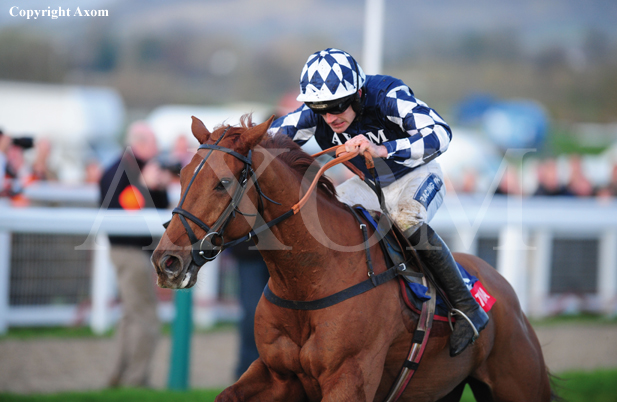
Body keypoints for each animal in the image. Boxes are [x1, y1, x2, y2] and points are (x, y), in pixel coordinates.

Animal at [150, 116, 552, 402]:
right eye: (182, 175)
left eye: (222, 184)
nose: (166, 261)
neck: (309, 281)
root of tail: (504, 290)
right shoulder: (277, 375)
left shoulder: (349, 378)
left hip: (518, 383)